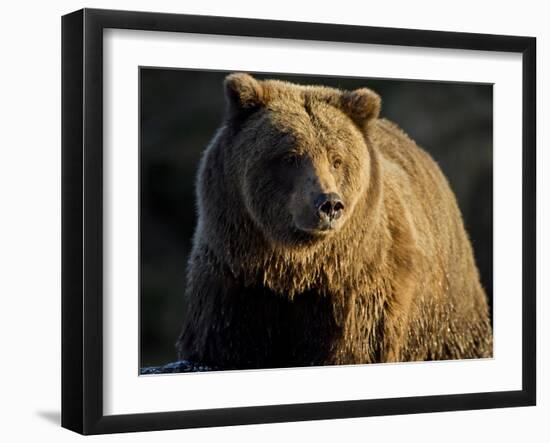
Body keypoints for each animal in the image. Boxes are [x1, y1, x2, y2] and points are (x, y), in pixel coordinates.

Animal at [178, 73, 496, 372]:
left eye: (337, 159)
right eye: (290, 156)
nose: (329, 203)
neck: (295, 267)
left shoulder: (357, 290)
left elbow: (353, 348)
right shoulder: (235, 277)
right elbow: (226, 342)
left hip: (445, 309)